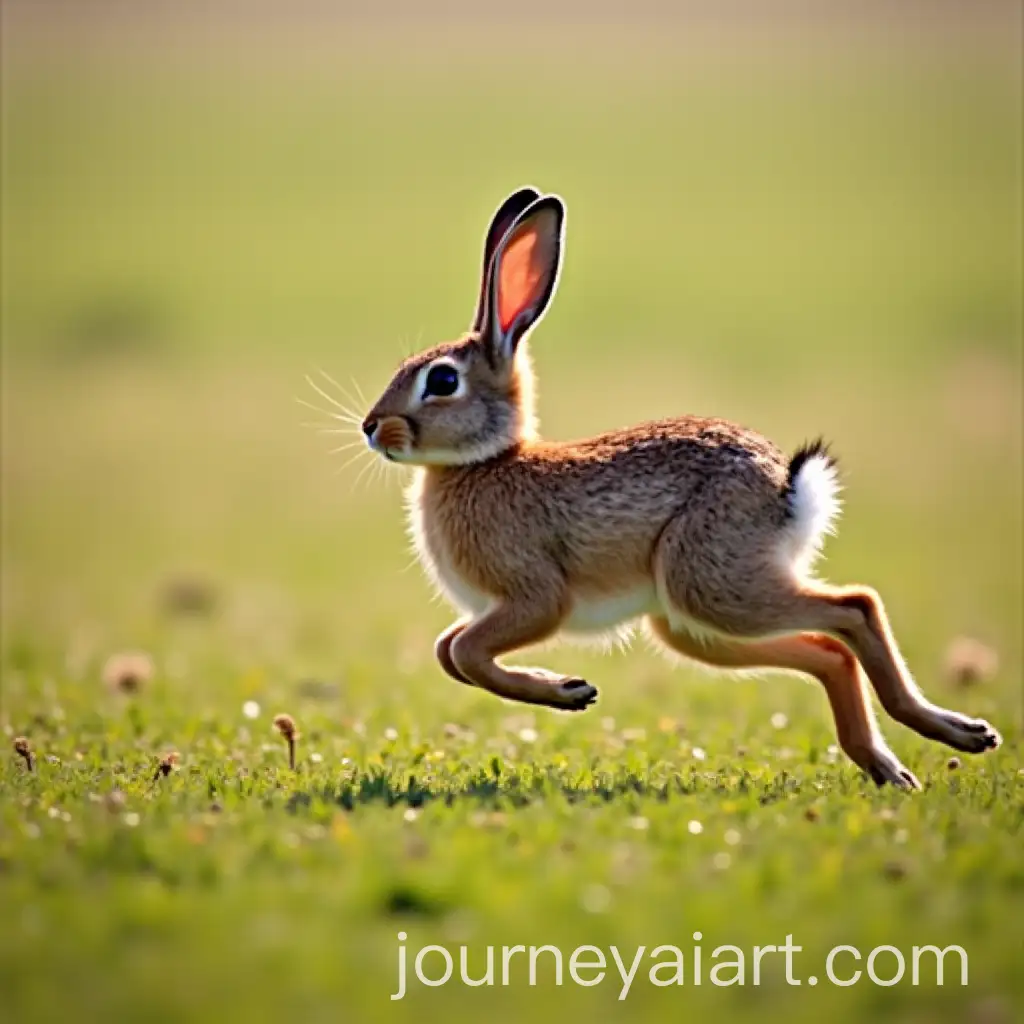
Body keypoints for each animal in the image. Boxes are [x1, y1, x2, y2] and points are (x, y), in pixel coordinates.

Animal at [359, 186, 1001, 790]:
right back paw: (892, 763)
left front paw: (569, 691)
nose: (371, 428)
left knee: (855, 607)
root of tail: (783, 488)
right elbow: (447, 652)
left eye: (443, 381)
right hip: (690, 622)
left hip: (711, 584)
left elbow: (465, 653)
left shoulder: (535, 597)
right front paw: (565, 687)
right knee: (830, 652)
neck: (482, 461)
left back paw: (950, 733)